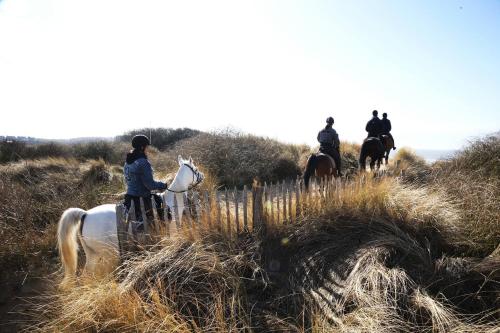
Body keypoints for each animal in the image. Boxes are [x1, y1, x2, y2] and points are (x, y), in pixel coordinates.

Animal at [58, 154, 205, 284]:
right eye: (195, 169)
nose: (202, 176)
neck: (169, 201)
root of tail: (85, 214)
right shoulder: (172, 235)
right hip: (109, 252)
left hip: (92, 253)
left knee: (86, 275)